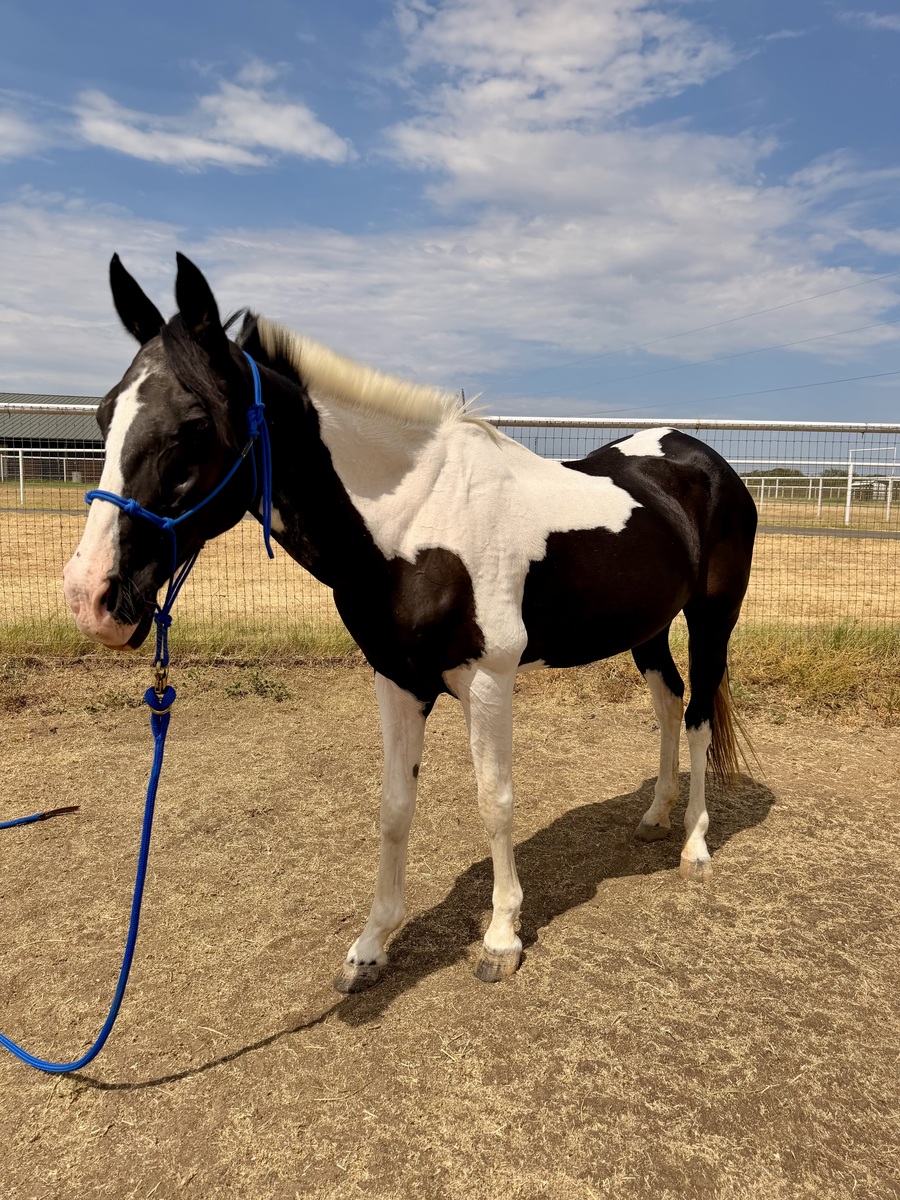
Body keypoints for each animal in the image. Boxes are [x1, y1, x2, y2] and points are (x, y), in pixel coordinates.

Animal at [63, 253, 758, 992]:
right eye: (105, 413)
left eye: (193, 423)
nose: (91, 596)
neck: (415, 521)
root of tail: (701, 460)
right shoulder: (396, 679)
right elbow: (395, 808)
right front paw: (371, 946)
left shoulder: (488, 679)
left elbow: (495, 801)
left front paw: (502, 938)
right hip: (647, 630)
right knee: (669, 703)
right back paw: (655, 816)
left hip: (711, 619)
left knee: (697, 716)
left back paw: (694, 844)